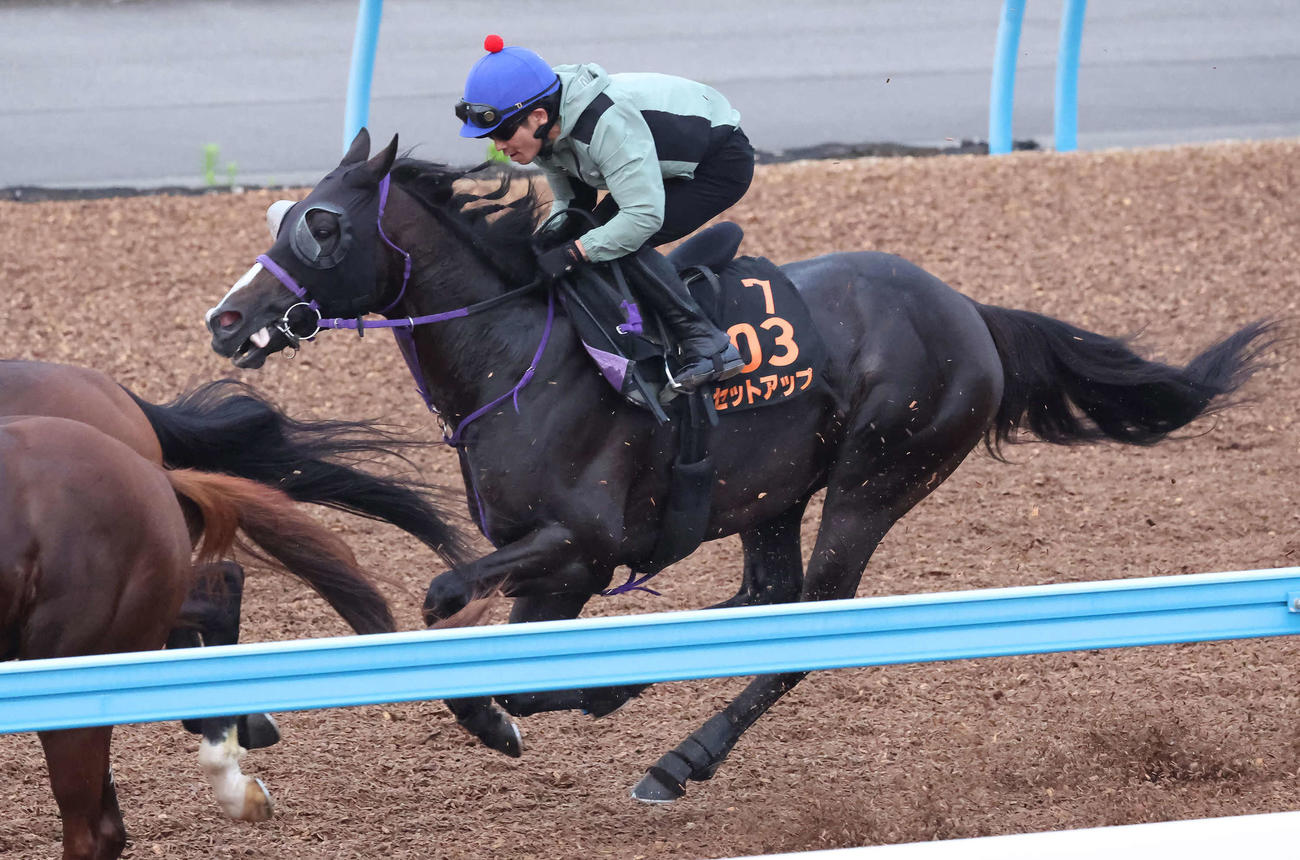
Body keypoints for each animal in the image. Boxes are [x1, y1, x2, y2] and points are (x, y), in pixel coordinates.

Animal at [204, 129, 1275, 803]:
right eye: (284, 214)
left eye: (324, 226)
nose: (225, 318)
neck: (520, 355)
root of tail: (968, 310)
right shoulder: (562, 566)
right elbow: (524, 654)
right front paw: (556, 700)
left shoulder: (582, 542)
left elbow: (446, 600)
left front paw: (512, 715)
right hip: (774, 495)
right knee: (766, 597)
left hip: (875, 480)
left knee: (804, 623)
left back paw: (679, 762)